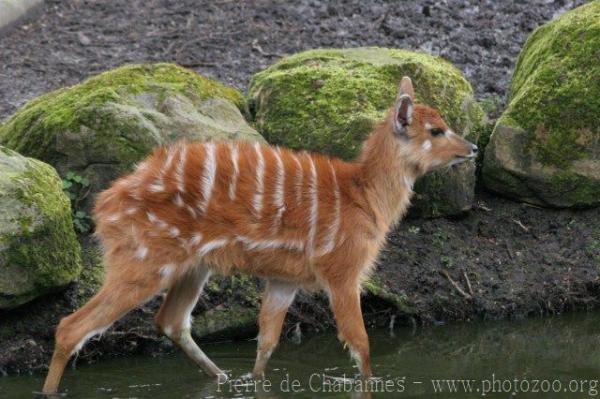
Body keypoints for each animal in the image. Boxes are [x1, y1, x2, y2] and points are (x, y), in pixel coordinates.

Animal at [42, 76, 478, 396]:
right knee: (71, 326)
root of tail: (105, 204)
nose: (472, 147)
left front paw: (253, 380)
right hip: (143, 261)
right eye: (437, 130)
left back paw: (222, 377)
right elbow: (362, 347)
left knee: (170, 321)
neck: (364, 196)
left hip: (192, 267)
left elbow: (266, 346)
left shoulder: (284, 280)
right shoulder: (342, 272)